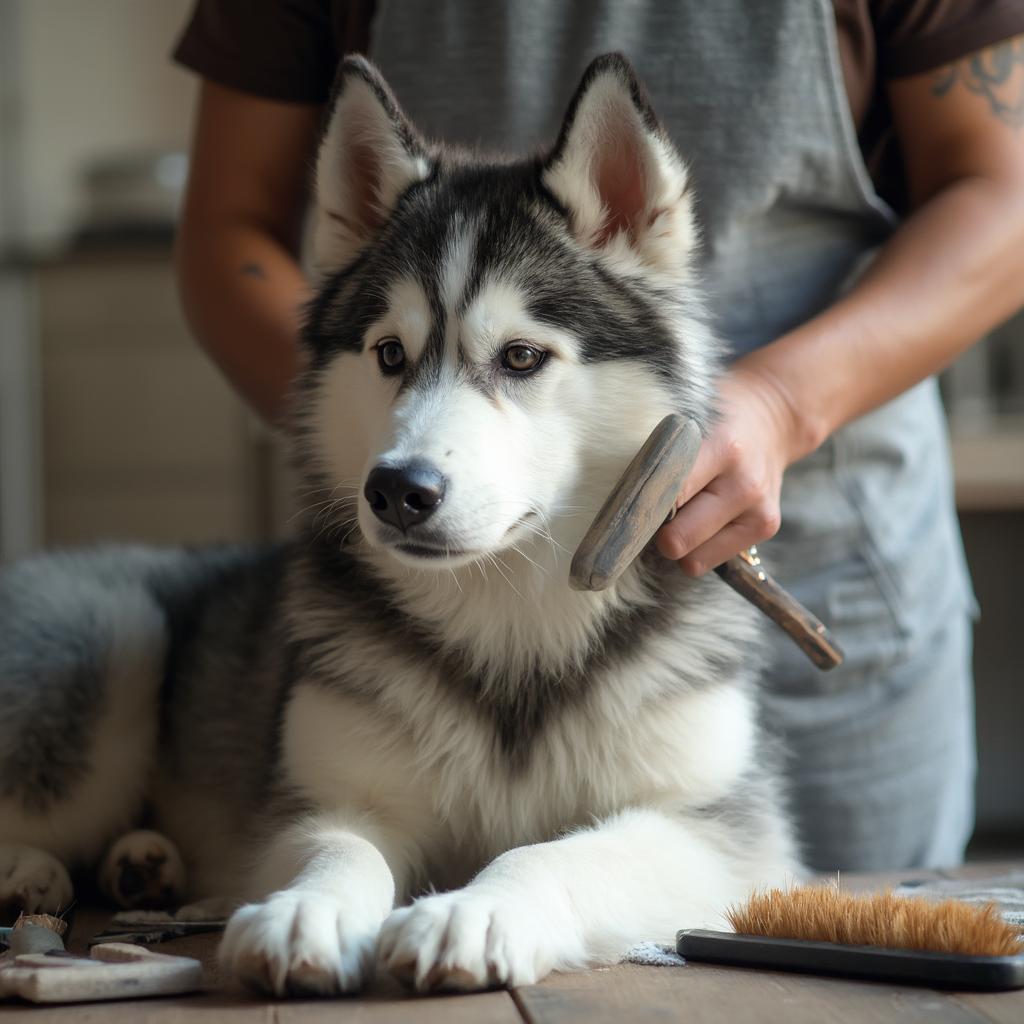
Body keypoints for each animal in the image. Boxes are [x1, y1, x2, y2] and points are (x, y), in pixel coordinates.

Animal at [0, 54, 798, 991]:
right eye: (389, 354)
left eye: (521, 357)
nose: (397, 491)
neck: (507, 617)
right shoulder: (324, 795)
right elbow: (342, 850)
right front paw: (305, 911)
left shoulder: (715, 826)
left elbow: (555, 853)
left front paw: (475, 912)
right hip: (110, 631)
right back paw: (34, 870)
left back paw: (143, 862)